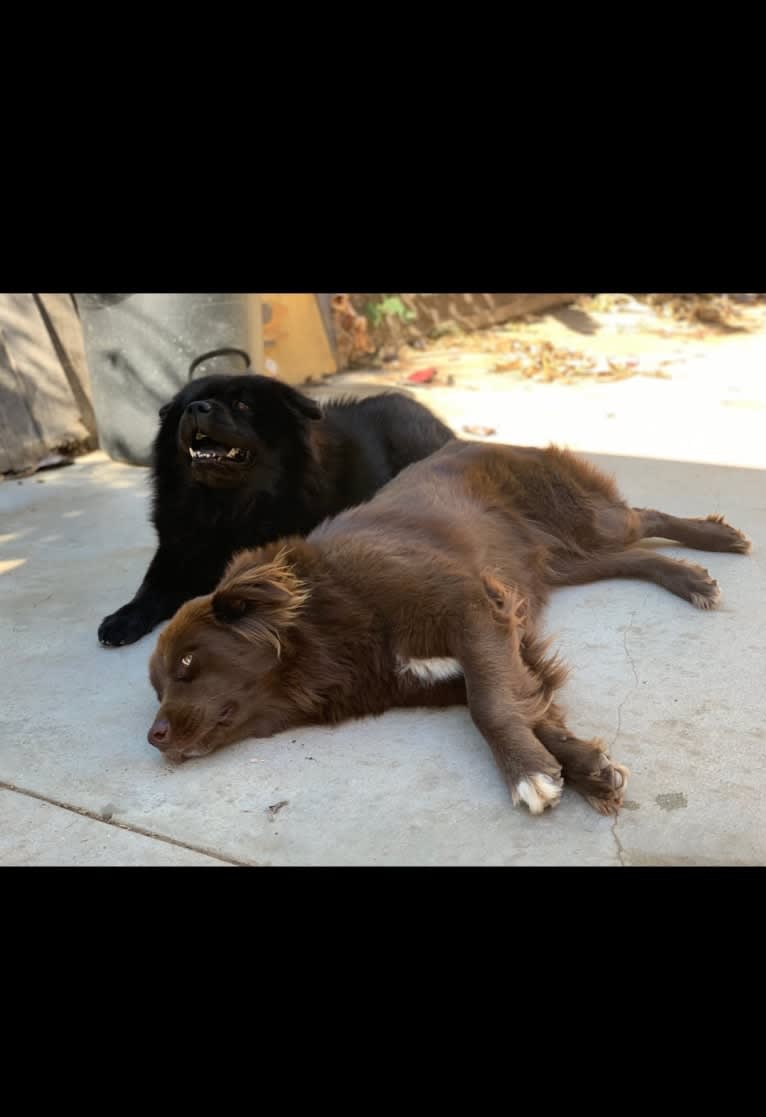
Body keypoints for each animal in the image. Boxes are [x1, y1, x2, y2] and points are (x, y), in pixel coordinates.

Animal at [97, 373, 455, 647]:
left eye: (242, 405)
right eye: (187, 405)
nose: (196, 408)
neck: (226, 507)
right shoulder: (174, 552)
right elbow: (149, 590)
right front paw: (122, 619)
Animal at [147, 440, 754, 817]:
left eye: (188, 664)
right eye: (156, 688)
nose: (153, 737)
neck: (329, 618)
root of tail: (474, 439)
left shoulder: (473, 610)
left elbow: (492, 705)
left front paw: (528, 773)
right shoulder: (494, 637)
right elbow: (528, 704)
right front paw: (583, 768)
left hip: (587, 526)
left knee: (644, 519)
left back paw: (715, 540)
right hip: (561, 562)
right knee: (633, 556)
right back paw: (689, 576)